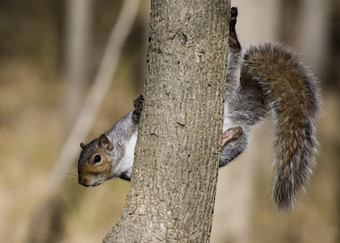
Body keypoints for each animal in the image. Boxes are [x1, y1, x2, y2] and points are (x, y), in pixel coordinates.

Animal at [77, 7, 318, 213]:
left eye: (96, 158)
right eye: (79, 163)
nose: (82, 182)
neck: (122, 153)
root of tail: (229, 114)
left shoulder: (125, 127)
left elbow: (134, 117)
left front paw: (140, 105)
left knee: (234, 54)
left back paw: (231, 36)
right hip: (236, 146)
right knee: (238, 134)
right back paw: (228, 135)